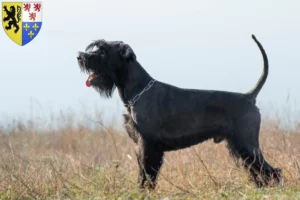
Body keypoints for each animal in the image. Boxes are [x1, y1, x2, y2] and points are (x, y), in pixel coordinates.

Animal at [77, 35, 282, 190]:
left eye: (103, 50)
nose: (80, 56)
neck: (138, 89)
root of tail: (249, 97)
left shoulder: (149, 145)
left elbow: (148, 175)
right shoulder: (140, 146)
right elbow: (142, 174)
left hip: (247, 144)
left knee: (272, 172)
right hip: (240, 147)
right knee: (258, 172)